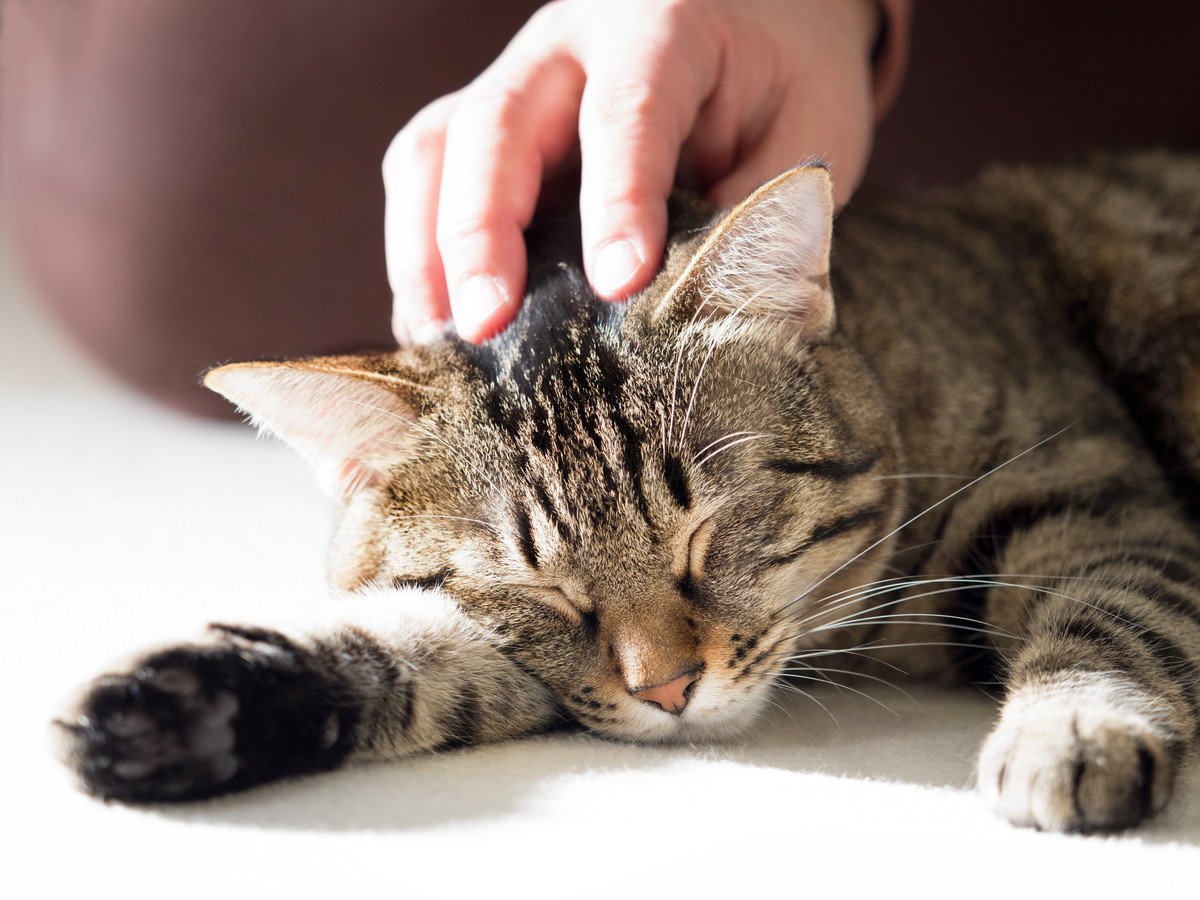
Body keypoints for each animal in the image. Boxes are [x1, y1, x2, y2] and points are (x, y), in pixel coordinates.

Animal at [56, 151, 1200, 835]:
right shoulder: (541, 660)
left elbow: (1113, 611)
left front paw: (1070, 730)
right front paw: (201, 706)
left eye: (707, 531)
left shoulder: (1091, 498)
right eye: (544, 592)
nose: (670, 691)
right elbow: (425, 652)